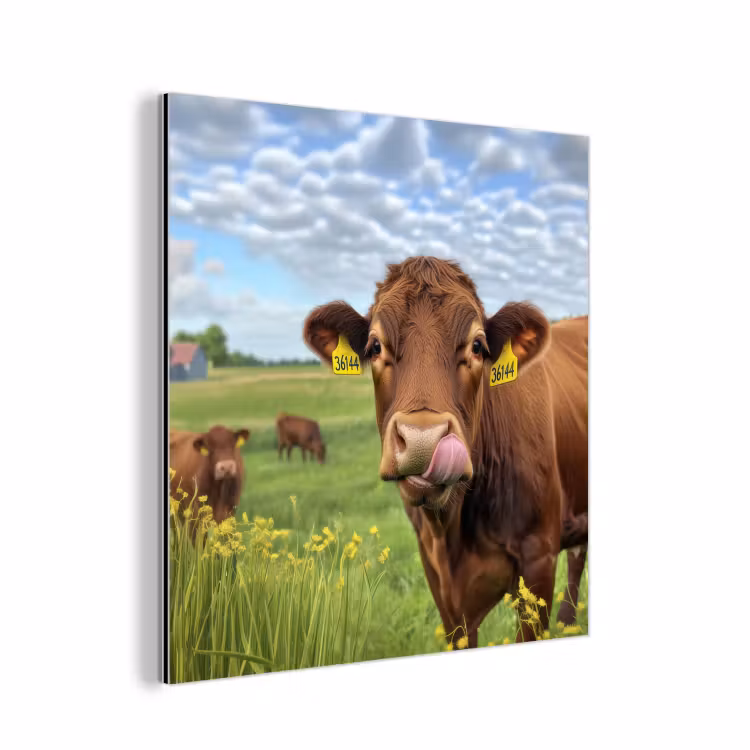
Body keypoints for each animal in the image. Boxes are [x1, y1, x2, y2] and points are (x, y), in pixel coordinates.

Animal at [303, 256, 587, 645]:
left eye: (478, 346)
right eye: (375, 346)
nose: (423, 440)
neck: (451, 530)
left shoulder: (538, 558)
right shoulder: (437, 575)